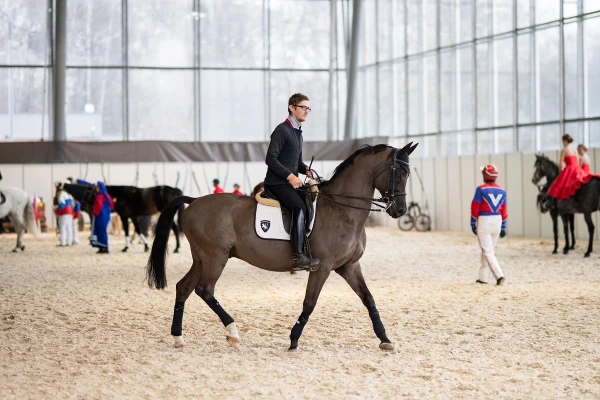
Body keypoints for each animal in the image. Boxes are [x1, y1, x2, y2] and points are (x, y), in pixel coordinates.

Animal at [146, 143, 418, 350]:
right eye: (398, 173)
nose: (400, 210)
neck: (341, 209)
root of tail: (193, 202)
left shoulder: (349, 266)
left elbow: (369, 299)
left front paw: (385, 339)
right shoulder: (323, 267)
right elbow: (310, 302)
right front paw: (293, 340)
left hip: (201, 258)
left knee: (184, 288)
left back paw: (178, 337)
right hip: (215, 257)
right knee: (205, 290)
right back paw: (233, 332)